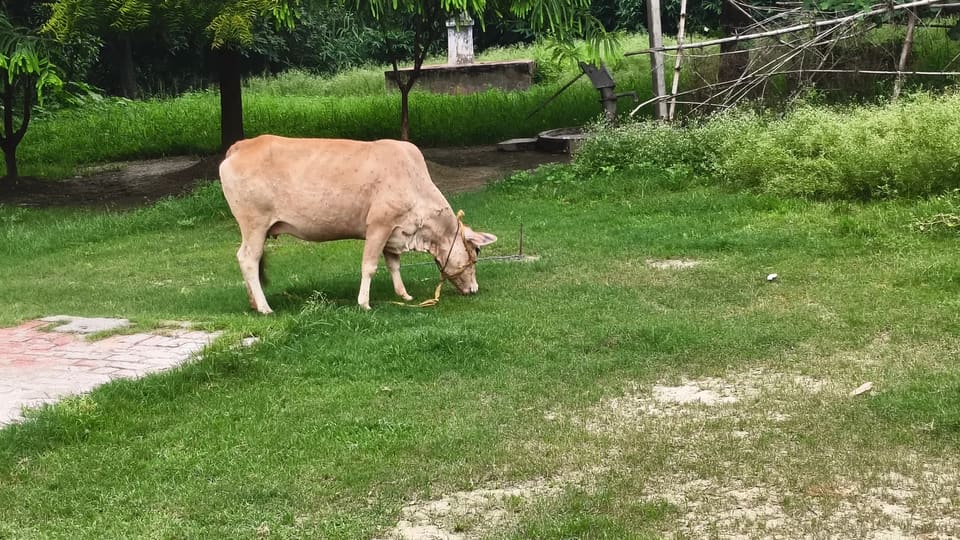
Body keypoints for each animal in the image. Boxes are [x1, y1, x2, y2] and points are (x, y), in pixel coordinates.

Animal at [219, 135, 498, 313]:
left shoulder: (394, 233)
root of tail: (242, 145)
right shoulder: (378, 225)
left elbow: (394, 264)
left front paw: (403, 294)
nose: (474, 289)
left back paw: (254, 302)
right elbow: (370, 266)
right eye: (476, 252)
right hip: (253, 224)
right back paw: (265, 307)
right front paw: (364, 303)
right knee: (248, 258)